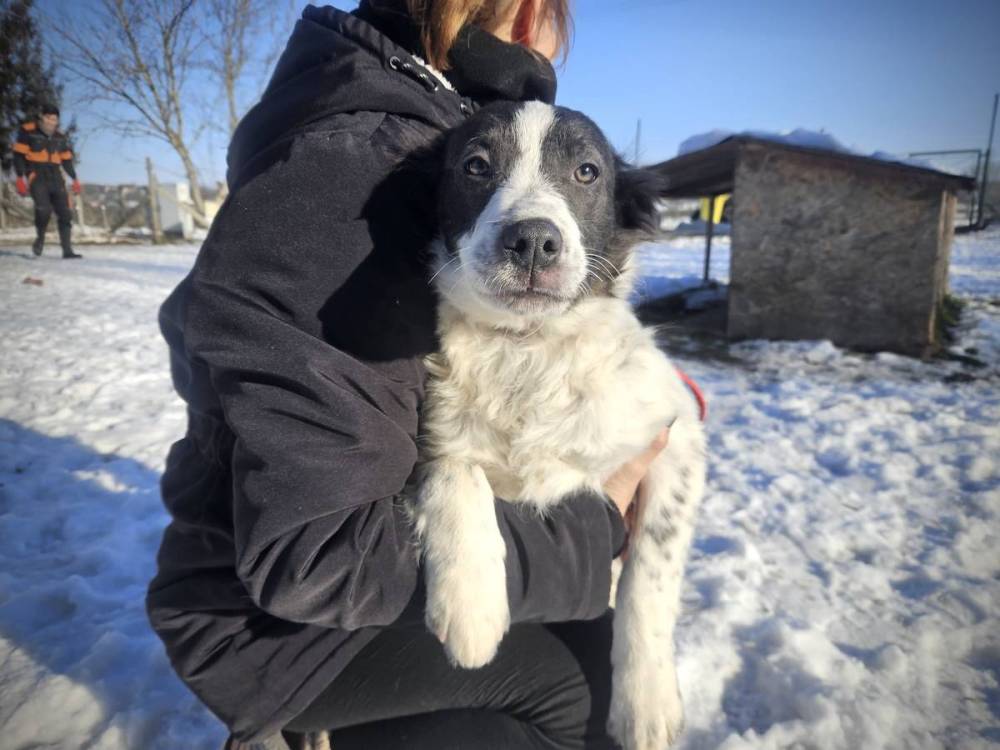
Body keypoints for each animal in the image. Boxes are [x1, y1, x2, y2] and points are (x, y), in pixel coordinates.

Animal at [412, 100, 707, 750]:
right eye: (475, 165)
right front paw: (471, 607)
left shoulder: (677, 436)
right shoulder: (437, 430)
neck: (528, 350)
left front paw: (646, 703)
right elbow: (455, 469)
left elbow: (650, 576)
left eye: (587, 171)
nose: (532, 241)